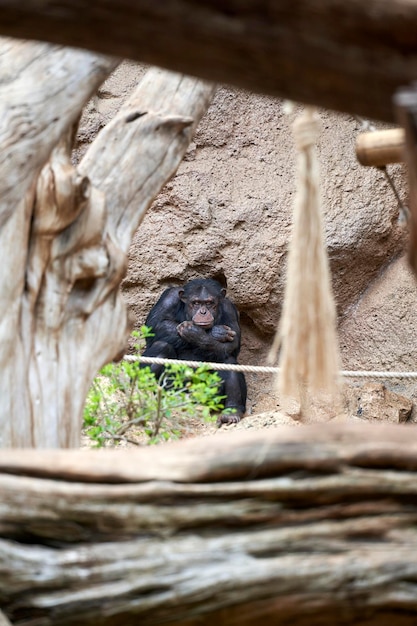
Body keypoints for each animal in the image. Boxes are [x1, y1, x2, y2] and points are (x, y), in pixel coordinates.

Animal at [143, 278, 247, 424]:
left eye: (209, 303)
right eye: (196, 303)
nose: (203, 312)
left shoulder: (229, 309)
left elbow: (232, 345)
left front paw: (198, 333)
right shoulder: (169, 297)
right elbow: (155, 325)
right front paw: (216, 331)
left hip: (207, 395)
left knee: (227, 360)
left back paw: (232, 411)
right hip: (173, 390)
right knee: (162, 346)